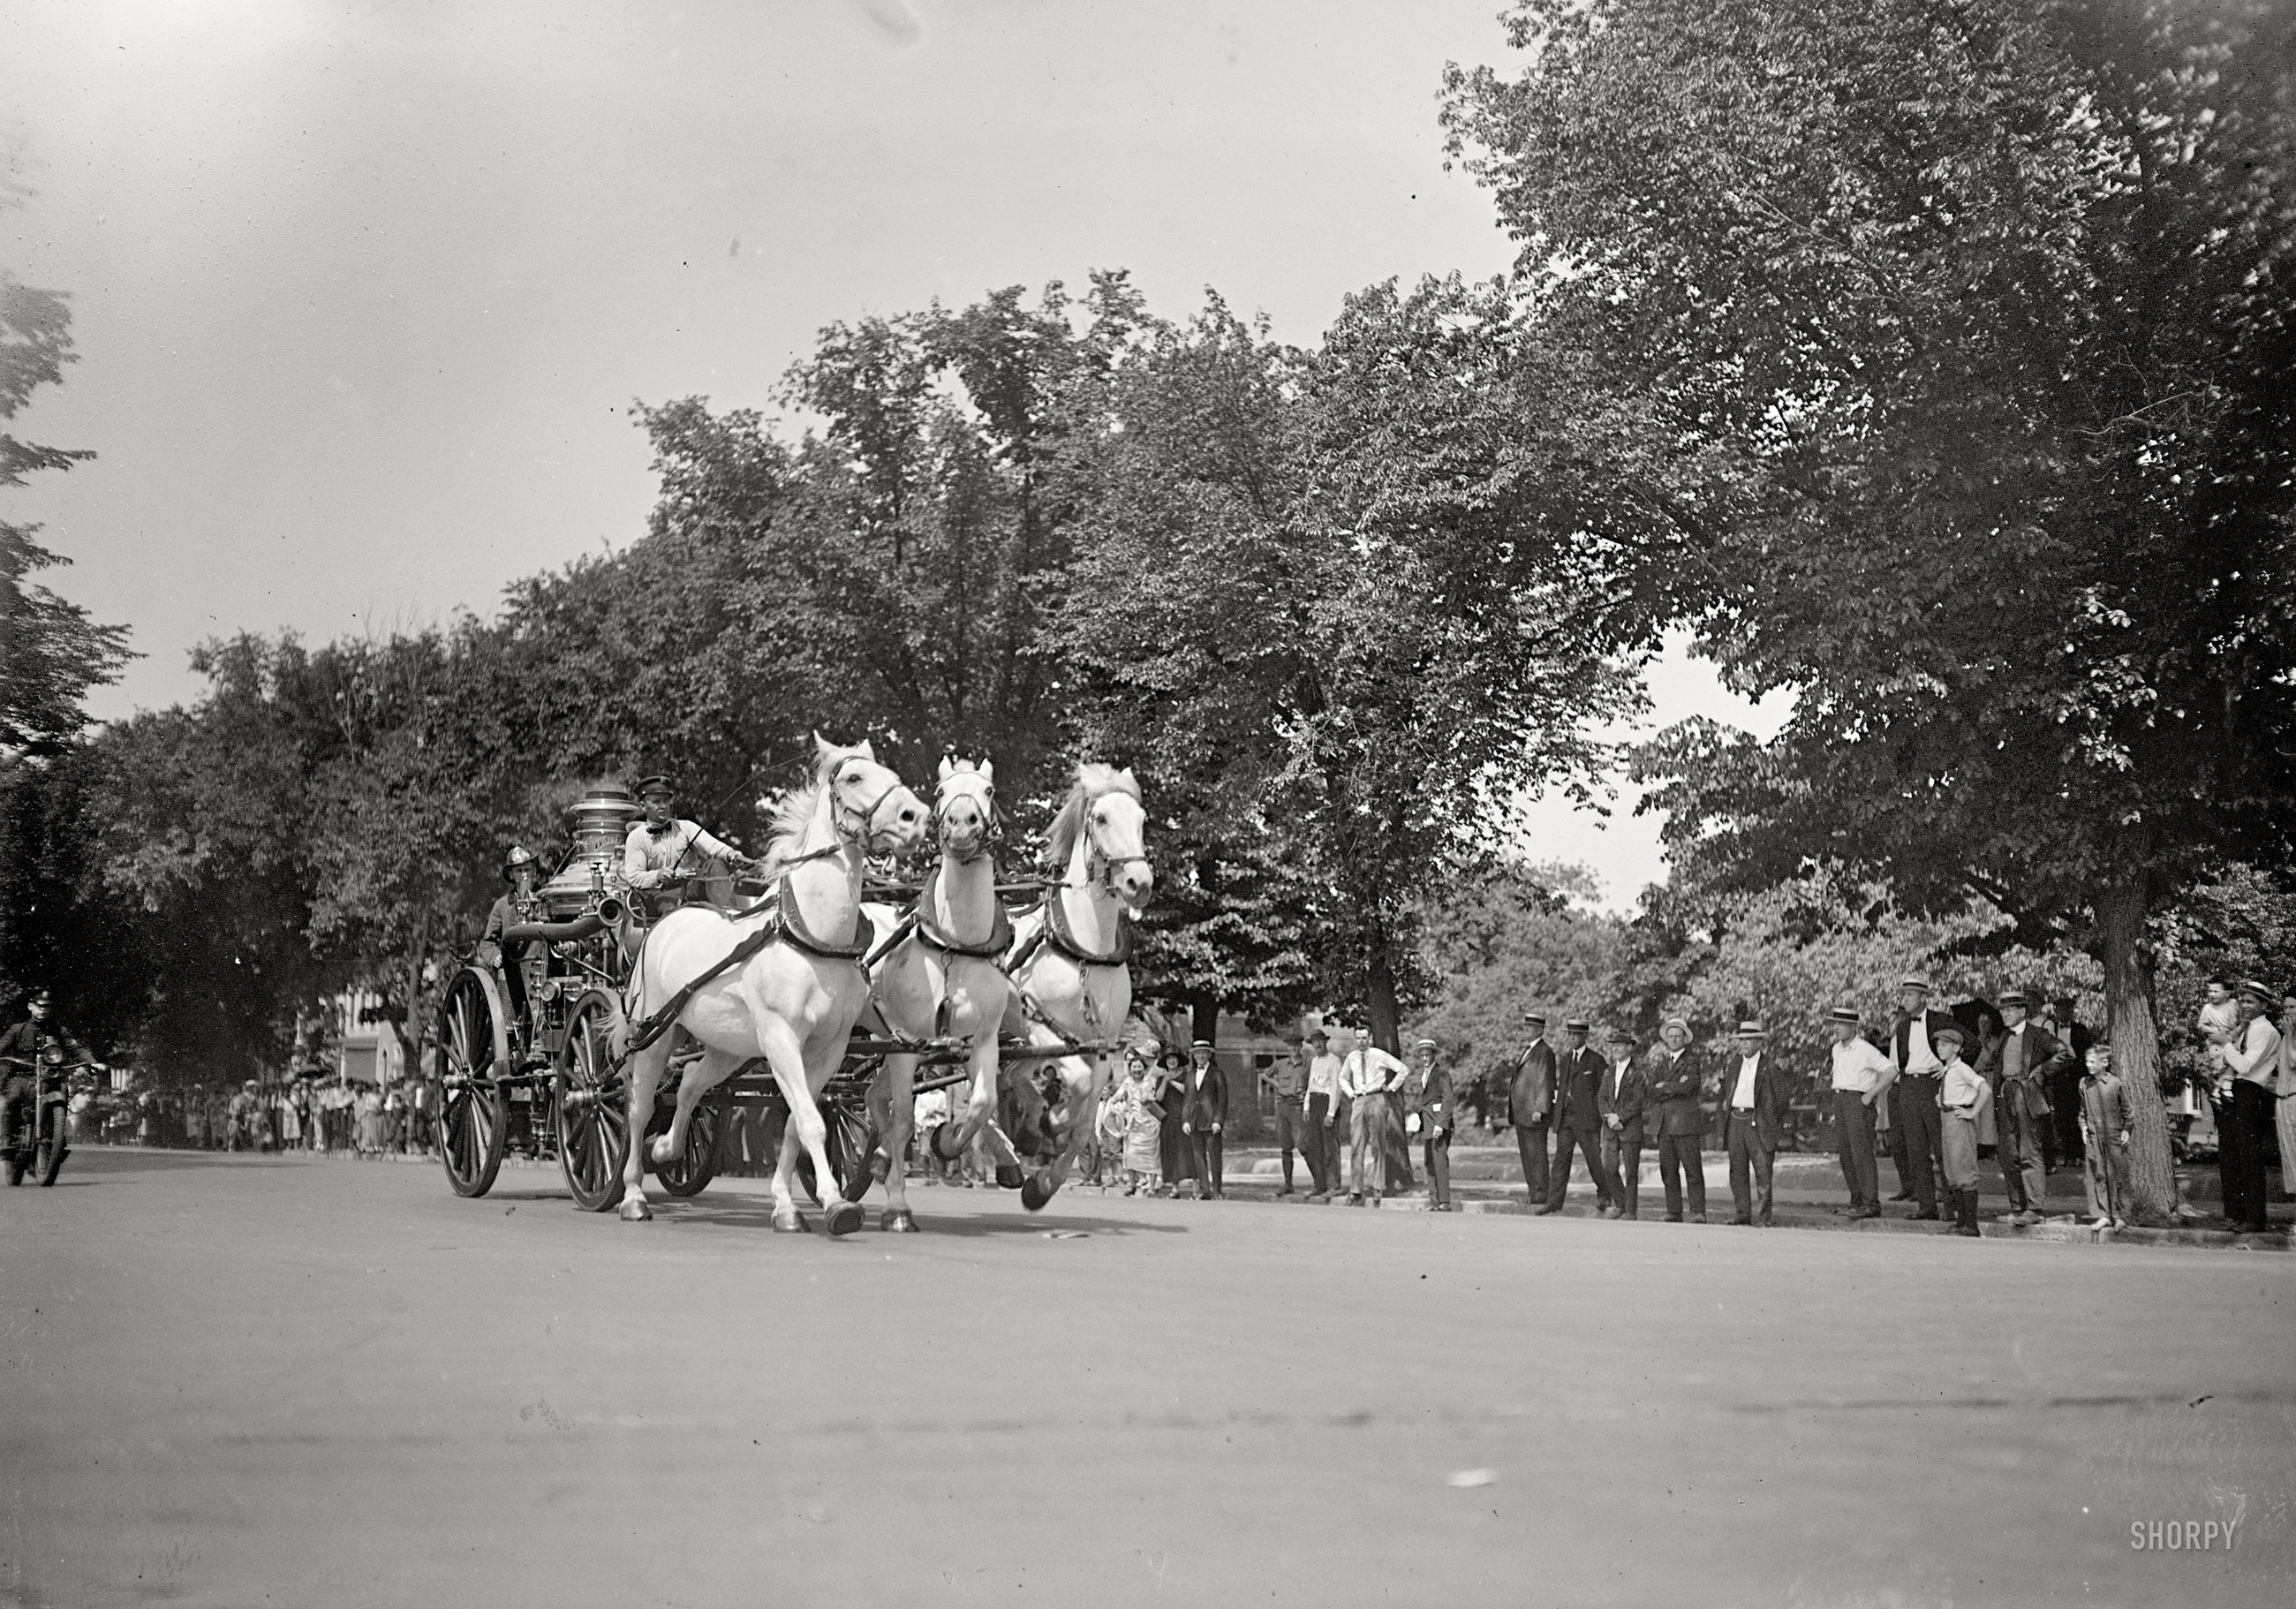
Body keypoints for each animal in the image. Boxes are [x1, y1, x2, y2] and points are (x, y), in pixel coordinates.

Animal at [620, 738, 932, 1230]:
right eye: (854, 777)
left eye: (890, 773)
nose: (916, 816)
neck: (813, 937)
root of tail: (665, 921)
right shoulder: (782, 1037)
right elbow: (810, 1122)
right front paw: (835, 1204)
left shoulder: (828, 1047)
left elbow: (796, 1121)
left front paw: (787, 1204)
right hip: (657, 1033)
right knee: (639, 1105)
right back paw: (633, 1194)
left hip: (729, 1046)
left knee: (689, 1082)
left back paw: (666, 1148)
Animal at [863, 752, 1015, 1230]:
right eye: (941, 790)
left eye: (988, 791)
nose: (963, 824)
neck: (953, 944)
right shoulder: (906, 1045)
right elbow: (905, 1121)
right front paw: (897, 1206)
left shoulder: (982, 1041)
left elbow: (982, 1103)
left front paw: (947, 1141)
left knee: (872, 1096)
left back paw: (877, 1158)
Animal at [1001, 761, 1148, 1202]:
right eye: (1101, 818)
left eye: (1142, 820)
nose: (1140, 883)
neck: (1085, 951)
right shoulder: (1038, 1025)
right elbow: (1077, 1088)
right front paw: (1051, 1126)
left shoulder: (1099, 1044)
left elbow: (1085, 1123)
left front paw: (1043, 1182)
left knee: (1009, 1075)